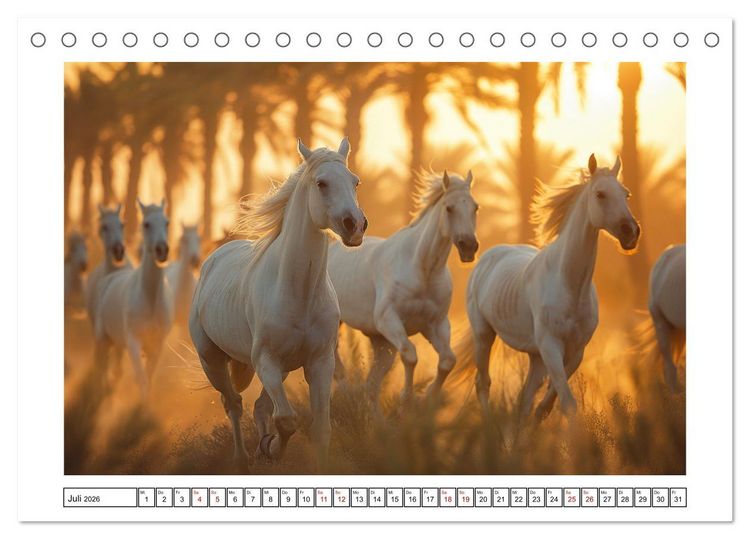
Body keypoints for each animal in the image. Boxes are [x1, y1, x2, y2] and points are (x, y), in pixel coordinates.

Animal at [95, 200, 173, 395]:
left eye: (166, 222)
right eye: (146, 224)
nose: (162, 250)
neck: (149, 299)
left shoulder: (157, 344)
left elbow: (148, 377)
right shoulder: (133, 342)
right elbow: (141, 379)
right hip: (102, 338)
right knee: (102, 368)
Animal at [189, 138, 366, 469]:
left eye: (355, 181)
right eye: (321, 183)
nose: (355, 225)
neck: (299, 293)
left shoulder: (320, 362)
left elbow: (320, 428)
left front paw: (272, 447)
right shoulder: (266, 361)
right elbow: (286, 419)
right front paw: (271, 448)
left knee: (258, 406)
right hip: (212, 361)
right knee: (233, 403)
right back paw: (243, 459)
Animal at [328, 170, 479, 403]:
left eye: (475, 207)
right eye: (449, 208)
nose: (469, 247)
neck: (423, 270)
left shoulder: (436, 325)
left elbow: (447, 361)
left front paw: (428, 397)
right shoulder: (388, 319)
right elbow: (410, 355)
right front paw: (406, 398)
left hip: (380, 342)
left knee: (372, 385)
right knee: (337, 365)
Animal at [459, 154, 640, 420]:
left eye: (626, 194)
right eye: (600, 194)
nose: (631, 233)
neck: (571, 286)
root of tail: (486, 258)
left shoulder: (576, 351)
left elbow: (547, 404)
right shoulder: (551, 346)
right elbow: (567, 402)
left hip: (534, 356)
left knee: (524, 398)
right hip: (484, 335)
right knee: (483, 383)